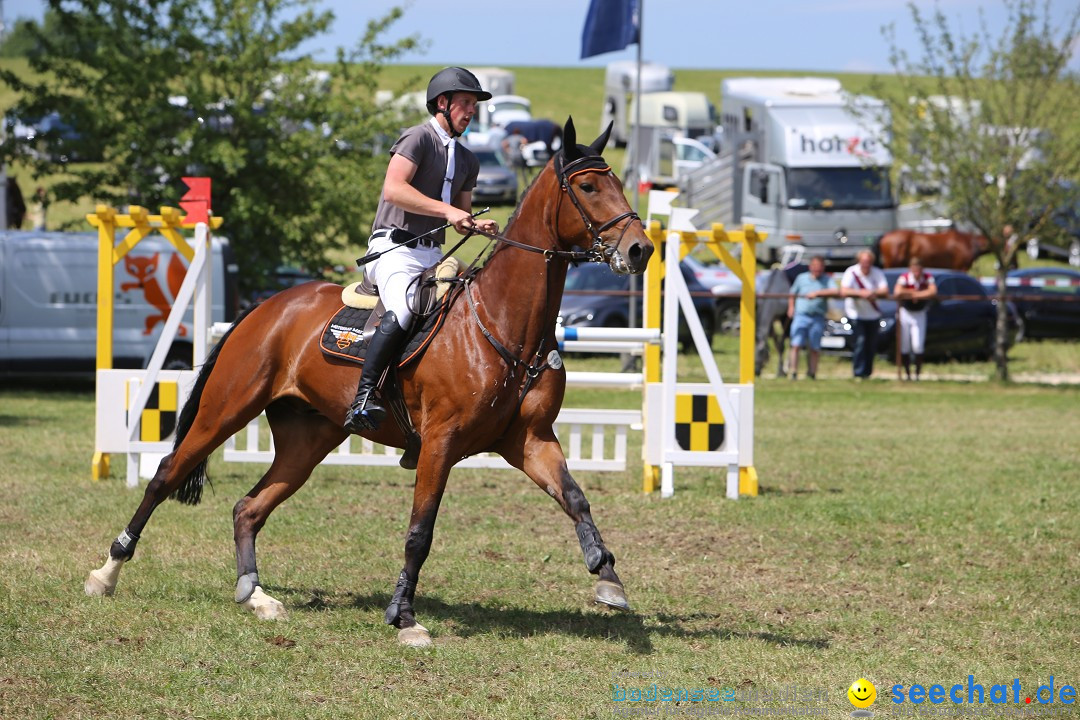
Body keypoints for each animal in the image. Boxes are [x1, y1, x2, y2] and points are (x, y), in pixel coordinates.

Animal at [84, 118, 652, 647]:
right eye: (587, 187)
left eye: (618, 182)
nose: (641, 250)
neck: (504, 323)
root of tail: (266, 306)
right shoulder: (440, 444)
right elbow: (420, 533)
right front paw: (404, 617)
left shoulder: (529, 440)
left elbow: (575, 498)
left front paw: (608, 577)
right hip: (226, 410)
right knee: (165, 475)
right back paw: (106, 572)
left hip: (309, 439)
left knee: (249, 507)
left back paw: (256, 595)